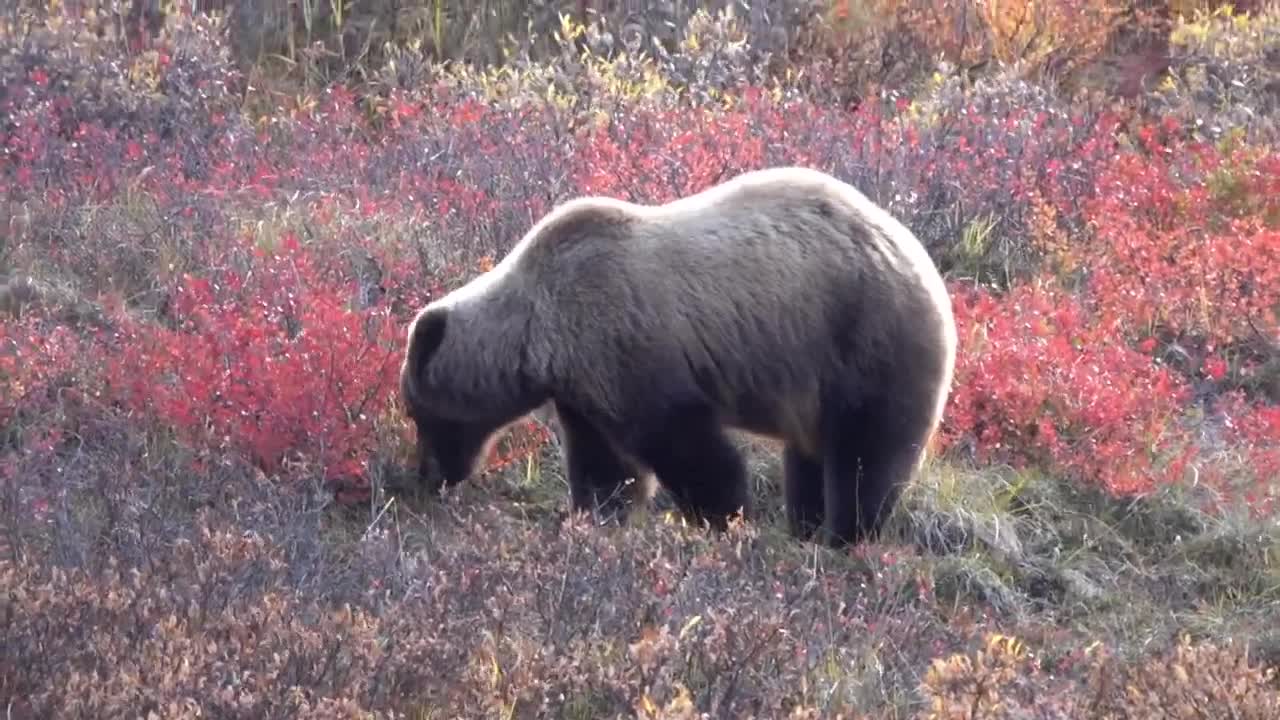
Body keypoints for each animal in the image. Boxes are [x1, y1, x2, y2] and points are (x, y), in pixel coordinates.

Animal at [401, 165, 962, 545]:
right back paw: (806, 526)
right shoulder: (584, 387)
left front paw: (723, 517)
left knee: (866, 456)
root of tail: (922, 259)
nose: (428, 475)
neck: (538, 332)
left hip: (866, 338)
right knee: (811, 456)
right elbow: (607, 466)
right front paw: (595, 518)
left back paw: (844, 536)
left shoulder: (627, 345)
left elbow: (687, 448)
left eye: (418, 413)